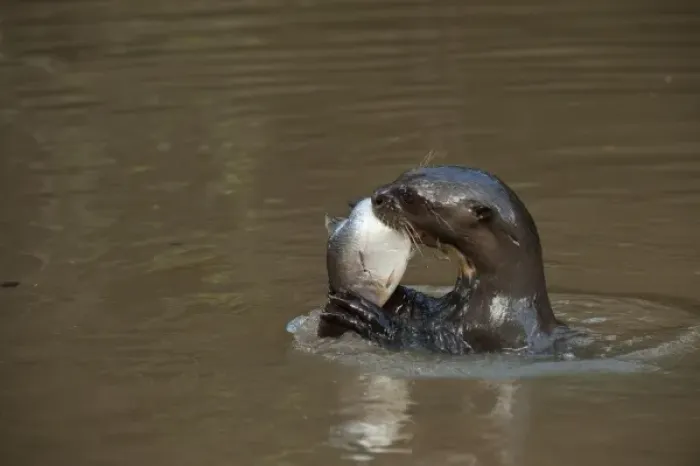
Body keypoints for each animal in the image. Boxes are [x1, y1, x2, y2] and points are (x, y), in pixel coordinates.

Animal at [319, 165, 571, 355]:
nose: (376, 196)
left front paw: (365, 315)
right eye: (403, 175)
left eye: (408, 196)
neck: (493, 306)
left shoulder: (479, 337)